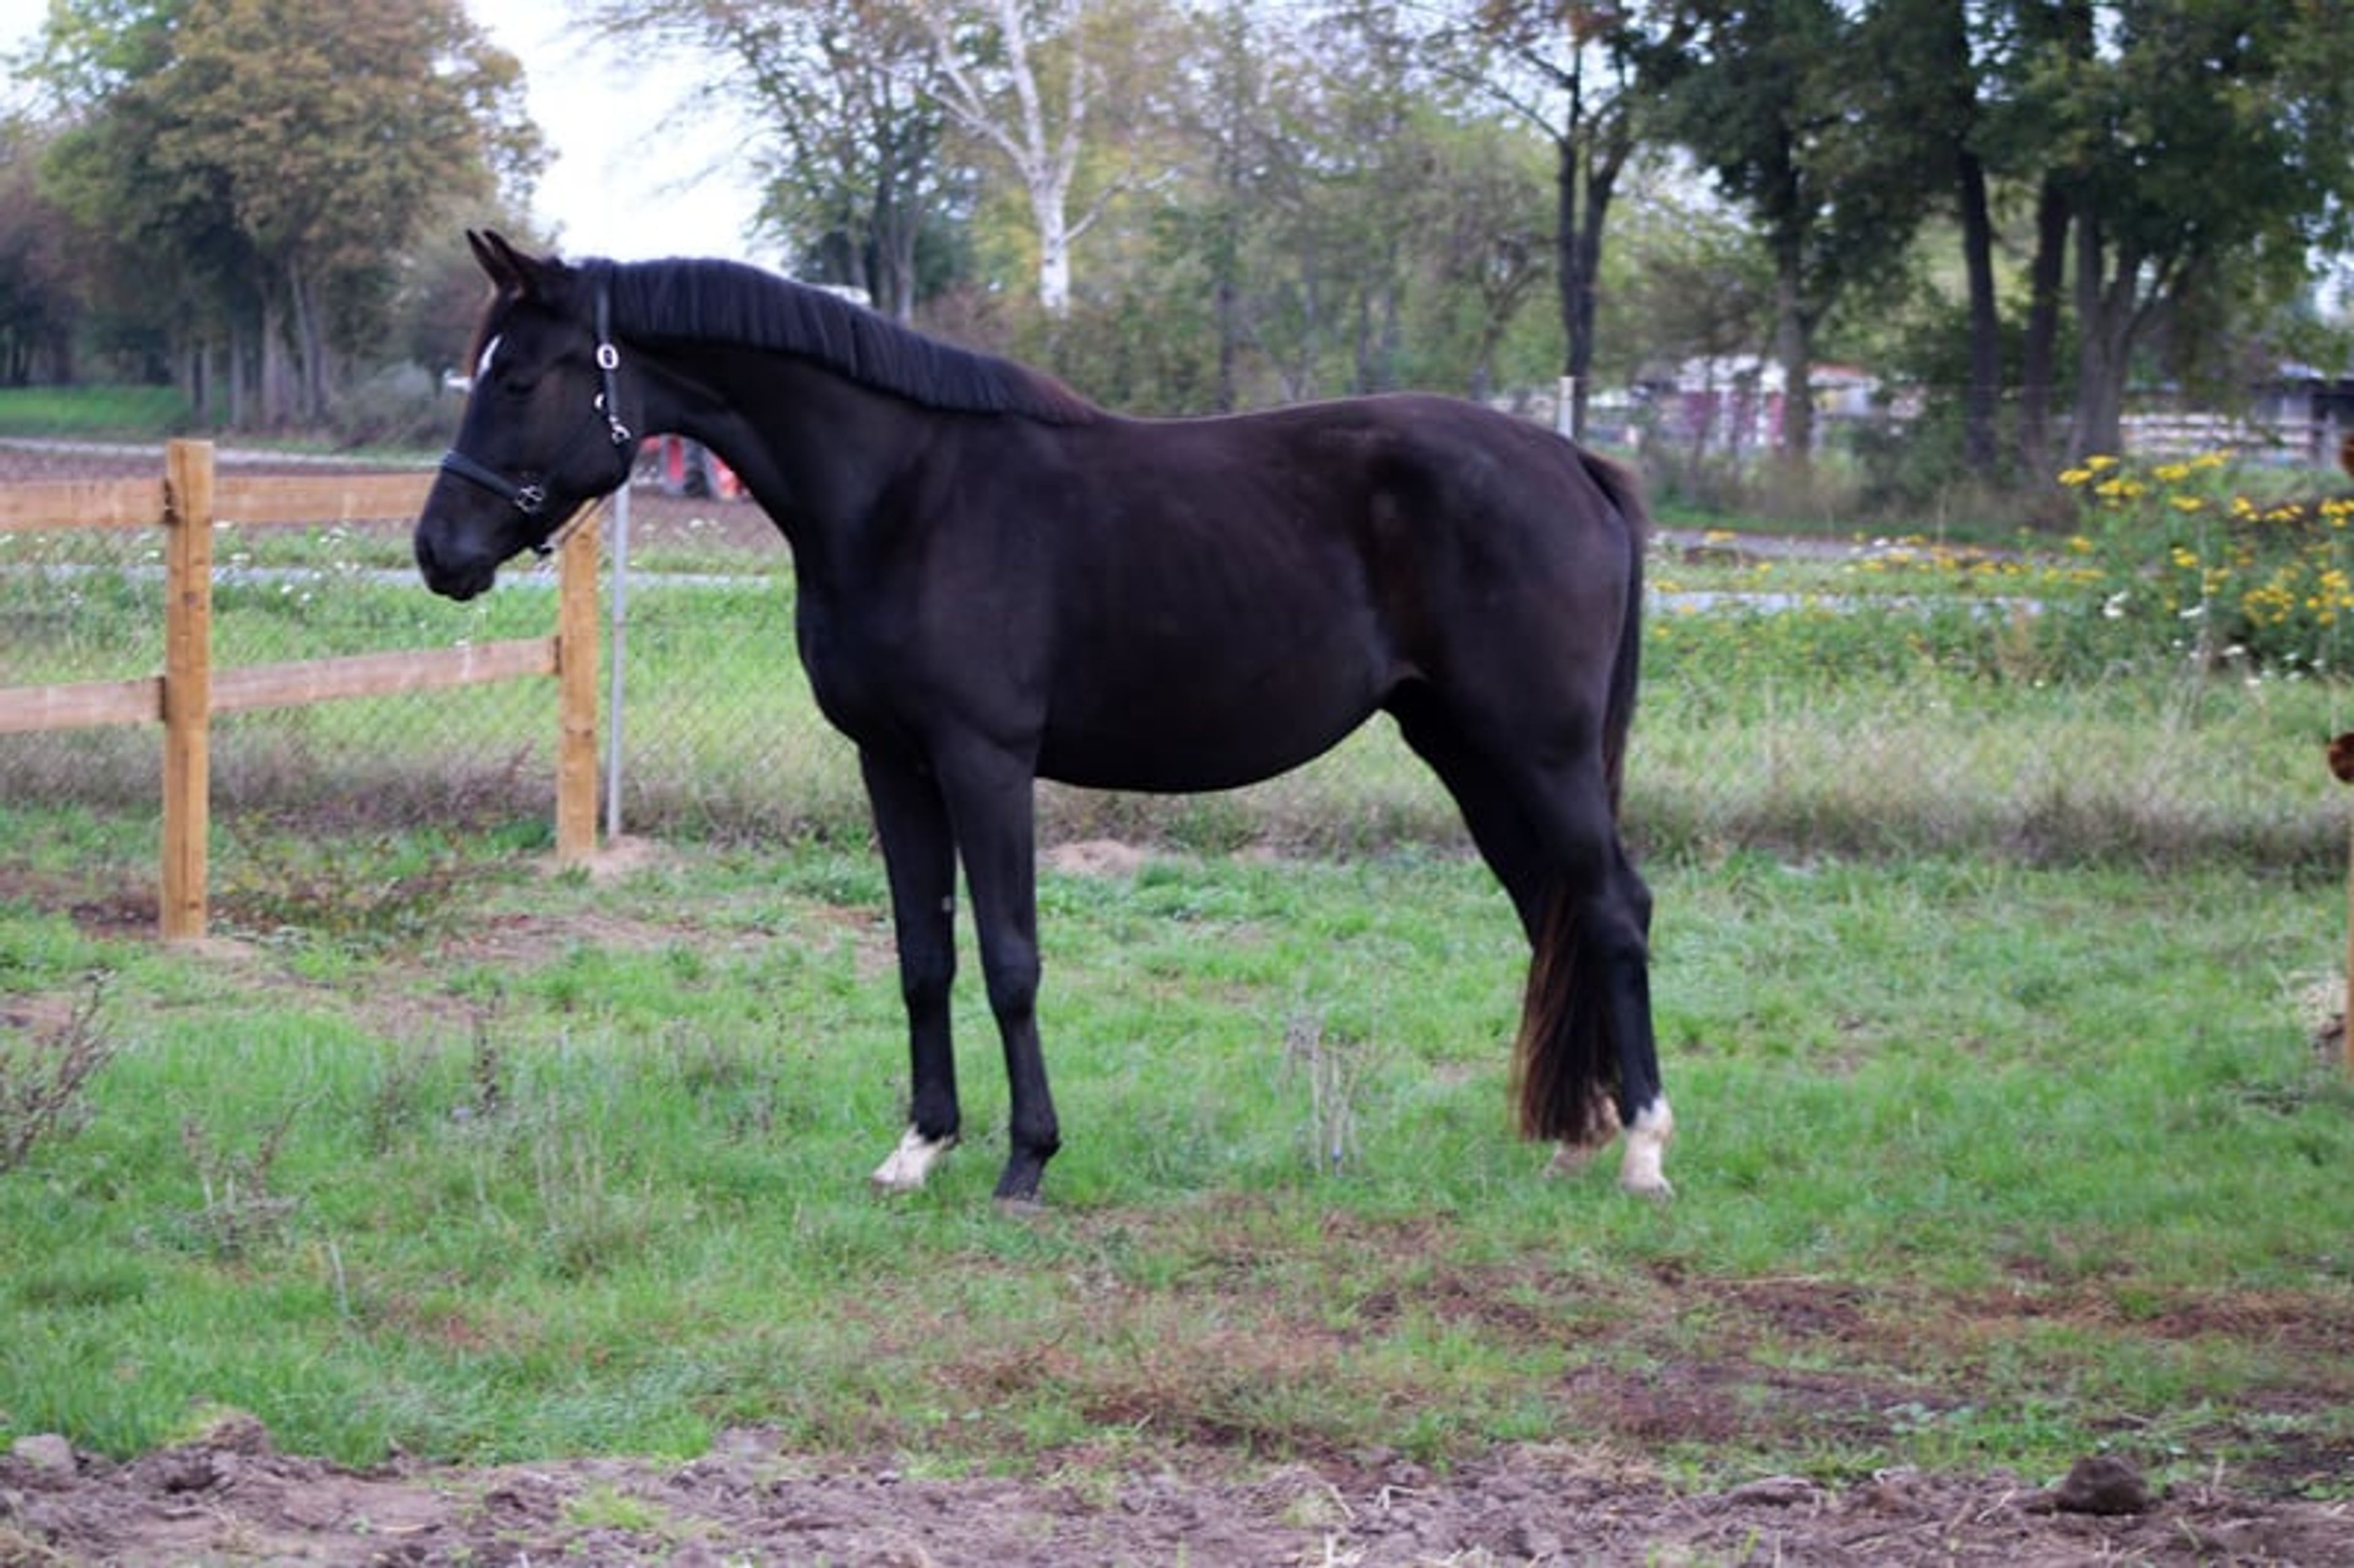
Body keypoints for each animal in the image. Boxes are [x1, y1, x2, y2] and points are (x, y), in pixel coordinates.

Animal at [415, 231, 1673, 1204]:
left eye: (518, 379)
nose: (439, 551)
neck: (906, 496)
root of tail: (1573, 458)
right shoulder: (892, 762)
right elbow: (923, 954)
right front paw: (918, 1147)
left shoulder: (986, 760)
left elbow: (1010, 956)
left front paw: (1027, 1161)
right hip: (1470, 749)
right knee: (1551, 908)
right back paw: (1583, 1134)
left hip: (1541, 751)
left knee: (1613, 907)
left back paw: (1646, 1149)